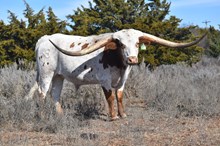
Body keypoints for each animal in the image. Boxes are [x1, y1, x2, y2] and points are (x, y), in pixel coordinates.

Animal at [27, 28, 206, 120]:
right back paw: (42, 116)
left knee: (55, 94)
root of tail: (45, 38)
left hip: (59, 76)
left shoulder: (123, 79)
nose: (132, 59)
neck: (118, 62)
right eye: (121, 44)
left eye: (137, 43)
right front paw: (113, 116)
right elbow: (110, 97)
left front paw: (123, 114)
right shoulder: (104, 80)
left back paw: (60, 115)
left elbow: (119, 95)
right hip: (46, 73)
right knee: (42, 93)